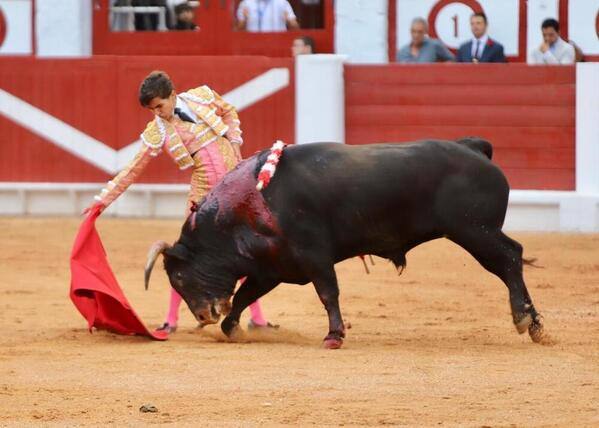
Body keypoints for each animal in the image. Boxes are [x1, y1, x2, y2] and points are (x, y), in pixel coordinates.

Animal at [146, 140, 548, 348]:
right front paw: (233, 328)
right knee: (510, 260)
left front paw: (334, 336)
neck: (252, 200)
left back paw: (526, 321)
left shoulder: (314, 256)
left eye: (178, 277)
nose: (203, 316)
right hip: (475, 231)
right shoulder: (273, 267)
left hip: (475, 231)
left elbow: (328, 293)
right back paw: (532, 323)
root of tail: (475, 149)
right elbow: (246, 294)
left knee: (510, 258)